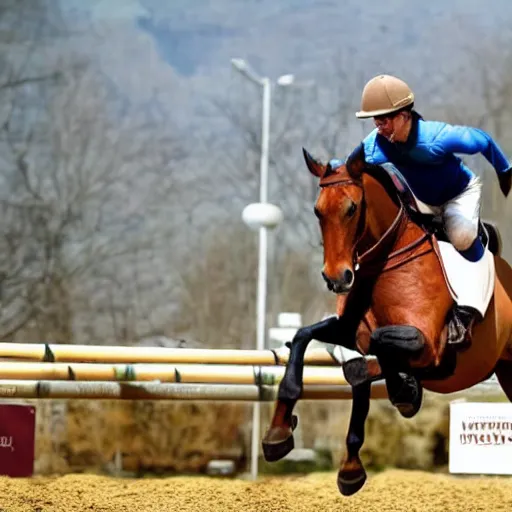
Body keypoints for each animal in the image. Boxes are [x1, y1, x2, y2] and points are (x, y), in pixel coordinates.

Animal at [262, 145, 510, 496]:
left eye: (352, 208)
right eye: (317, 210)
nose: (337, 278)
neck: (387, 263)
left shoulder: (429, 346)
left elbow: (377, 349)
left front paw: (406, 392)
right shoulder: (350, 331)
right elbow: (303, 337)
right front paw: (279, 433)